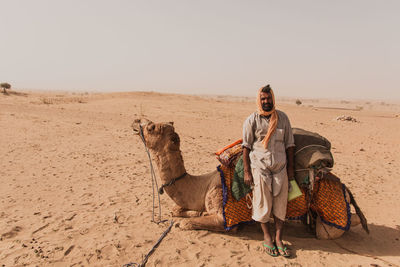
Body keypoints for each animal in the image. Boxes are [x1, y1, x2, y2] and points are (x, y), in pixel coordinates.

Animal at [132, 119, 368, 241]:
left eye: (151, 127)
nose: (136, 123)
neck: (201, 185)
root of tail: (344, 187)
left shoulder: (223, 213)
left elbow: (185, 223)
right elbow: (178, 211)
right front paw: (190, 212)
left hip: (331, 216)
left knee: (332, 227)